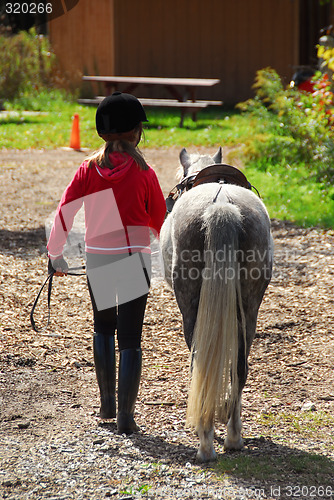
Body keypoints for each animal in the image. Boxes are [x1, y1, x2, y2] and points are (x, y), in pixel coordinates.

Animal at [160, 146, 274, 462]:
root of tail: (222, 207)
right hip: (249, 307)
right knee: (240, 366)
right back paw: (234, 438)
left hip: (190, 307)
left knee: (200, 363)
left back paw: (205, 443)